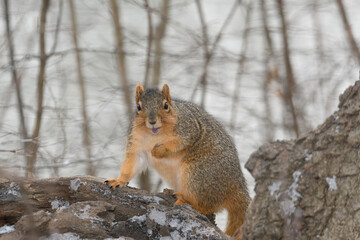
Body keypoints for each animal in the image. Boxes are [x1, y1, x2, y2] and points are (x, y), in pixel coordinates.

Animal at [105, 83, 249, 236]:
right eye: (138, 107)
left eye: (166, 105)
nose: (152, 121)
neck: (154, 135)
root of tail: (237, 184)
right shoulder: (136, 144)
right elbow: (132, 163)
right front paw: (119, 180)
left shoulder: (188, 130)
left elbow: (177, 145)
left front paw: (158, 151)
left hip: (198, 175)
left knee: (206, 206)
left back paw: (187, 202)